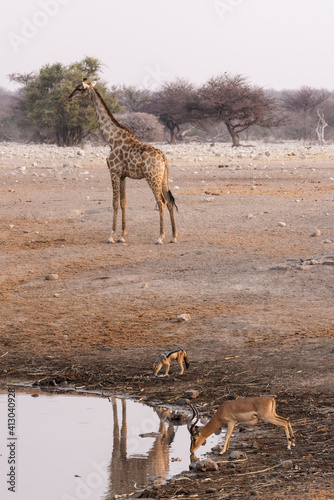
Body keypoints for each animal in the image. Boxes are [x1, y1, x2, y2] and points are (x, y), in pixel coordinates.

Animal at [68, 80, 177, 244]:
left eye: (80, 88)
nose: (69, 97)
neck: (111, 138)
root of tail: (164, 158)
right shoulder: (123, 175)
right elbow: (123, 202)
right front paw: (122, 236)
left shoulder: (113, 171)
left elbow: (114, 203)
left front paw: (111, 237)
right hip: (163, 178)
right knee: (170, 200)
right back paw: (174, 237)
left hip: (152, 177)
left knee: (161, 202)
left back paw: (160, 237)